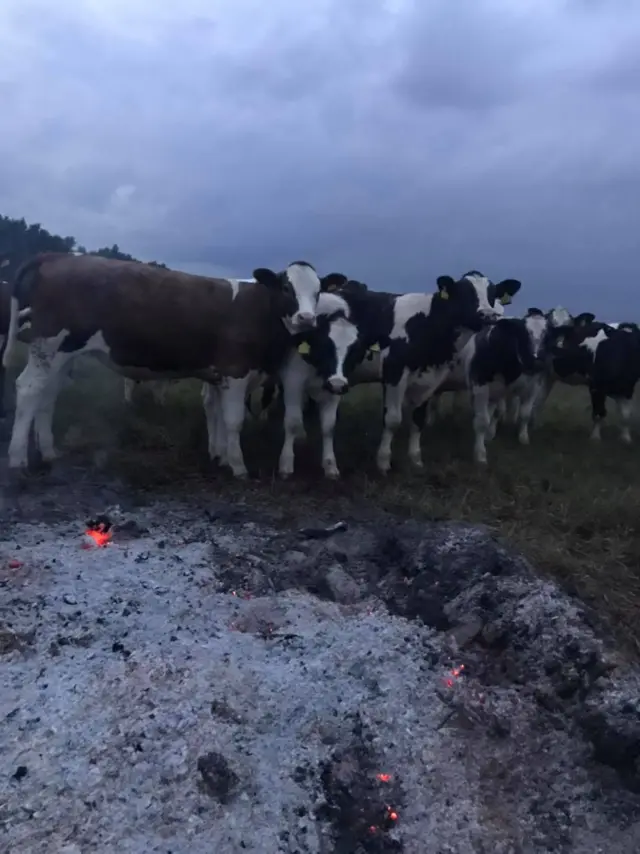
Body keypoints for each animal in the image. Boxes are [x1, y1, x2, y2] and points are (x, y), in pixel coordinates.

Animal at [3, 254, 344, 482]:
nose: (306, 318)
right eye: (286, 287)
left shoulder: (219, 374)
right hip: (49, 346)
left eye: (318, 292)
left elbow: (218, 417)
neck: (259, 309)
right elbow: (233, 421)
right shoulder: (235, 371)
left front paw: (220, 456)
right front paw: (238, 466)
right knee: (28, 390)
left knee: (47, 397)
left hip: (61, 354)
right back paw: (17, 459)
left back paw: (48, 451)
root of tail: (58, 256)